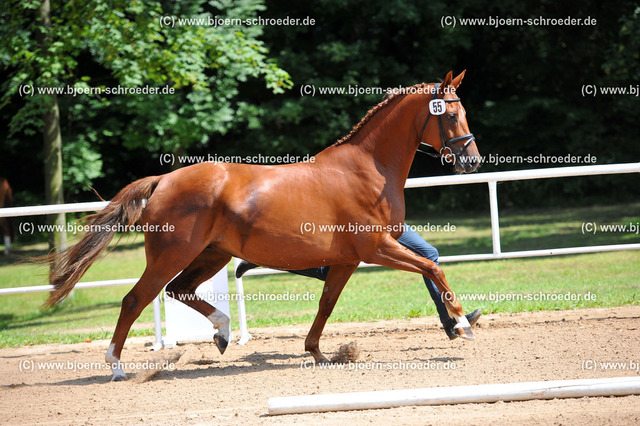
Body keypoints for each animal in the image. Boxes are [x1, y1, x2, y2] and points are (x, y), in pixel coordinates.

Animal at [45, 70, 480, 380]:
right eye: (451, 115)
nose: (472, 161)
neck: (367, 169)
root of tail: (163, 180)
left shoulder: (349, 259)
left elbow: (327, 303)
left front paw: (317, 352)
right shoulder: (376, 249)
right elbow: (433, 268)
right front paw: (462, 323)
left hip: (213, 255)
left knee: (179, 290)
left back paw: (222, 333)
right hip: (171, 256)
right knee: (136, 299)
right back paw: (117, 366)